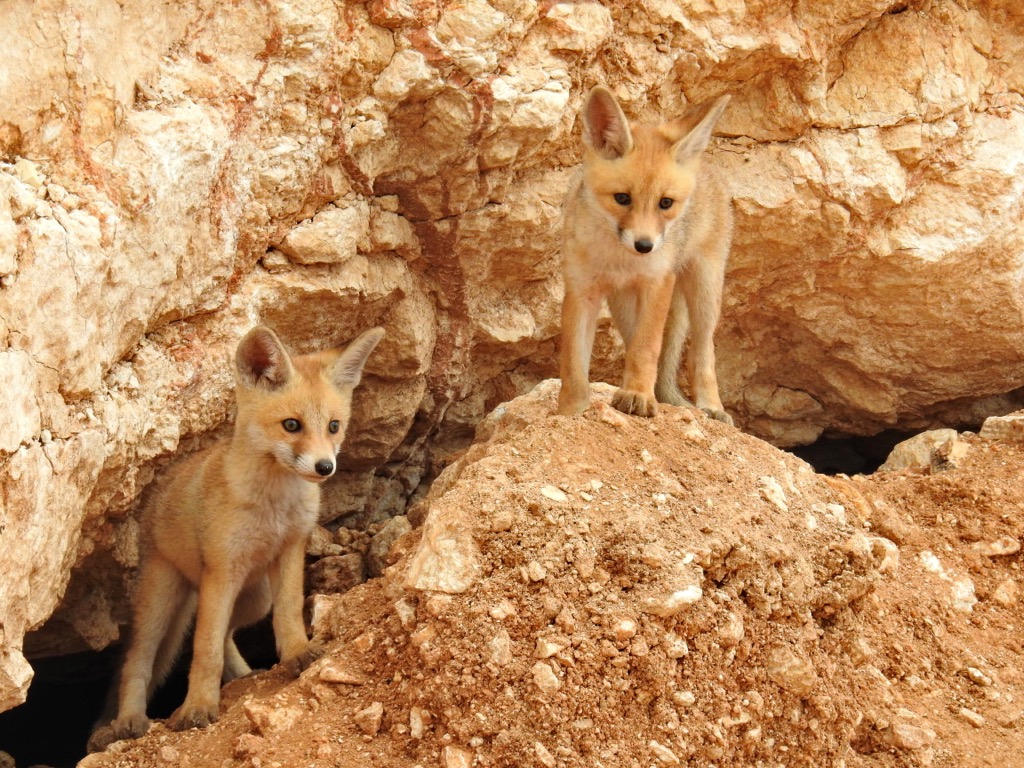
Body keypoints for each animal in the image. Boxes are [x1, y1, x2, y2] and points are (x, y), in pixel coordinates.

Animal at [87, 324, 384, 752]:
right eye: (291, 425)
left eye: (334, 426)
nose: (325, 467)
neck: (273, 505)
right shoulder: (222, 570)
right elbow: (204, 651)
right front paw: (197, 707)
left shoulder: (291, 551)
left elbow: (288, 616)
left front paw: (298, 653)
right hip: (162, 602)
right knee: (138, 662)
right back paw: (130, 719)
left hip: (255, 596)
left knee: (228, 634)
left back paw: (244, 676)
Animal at [557, 85, 734, 424]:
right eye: (622, 198)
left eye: (665, 203)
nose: (645, 245)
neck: (619, 260)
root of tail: (705, 164)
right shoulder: (581, 290)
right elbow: (573, 365)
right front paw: (569, 411)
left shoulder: (658, 282)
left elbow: (647, 348)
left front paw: (638, 395)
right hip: (623, 305)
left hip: (705, 288)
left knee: (702, 351)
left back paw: (710, 405)